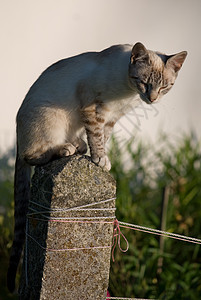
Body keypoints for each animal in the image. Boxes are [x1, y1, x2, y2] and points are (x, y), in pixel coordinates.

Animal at [7, 41, 188, 292]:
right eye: (144, 82)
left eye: (164, 87)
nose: (151, 99)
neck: (128, 93)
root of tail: (17, 131)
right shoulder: (93, 108)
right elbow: (96, 135)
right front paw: (99, 159)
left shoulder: (112, 117)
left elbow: (104, 137)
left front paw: (102, 157)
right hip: (51, 120)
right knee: (30, 156)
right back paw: (65, 149)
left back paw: (78, 146)